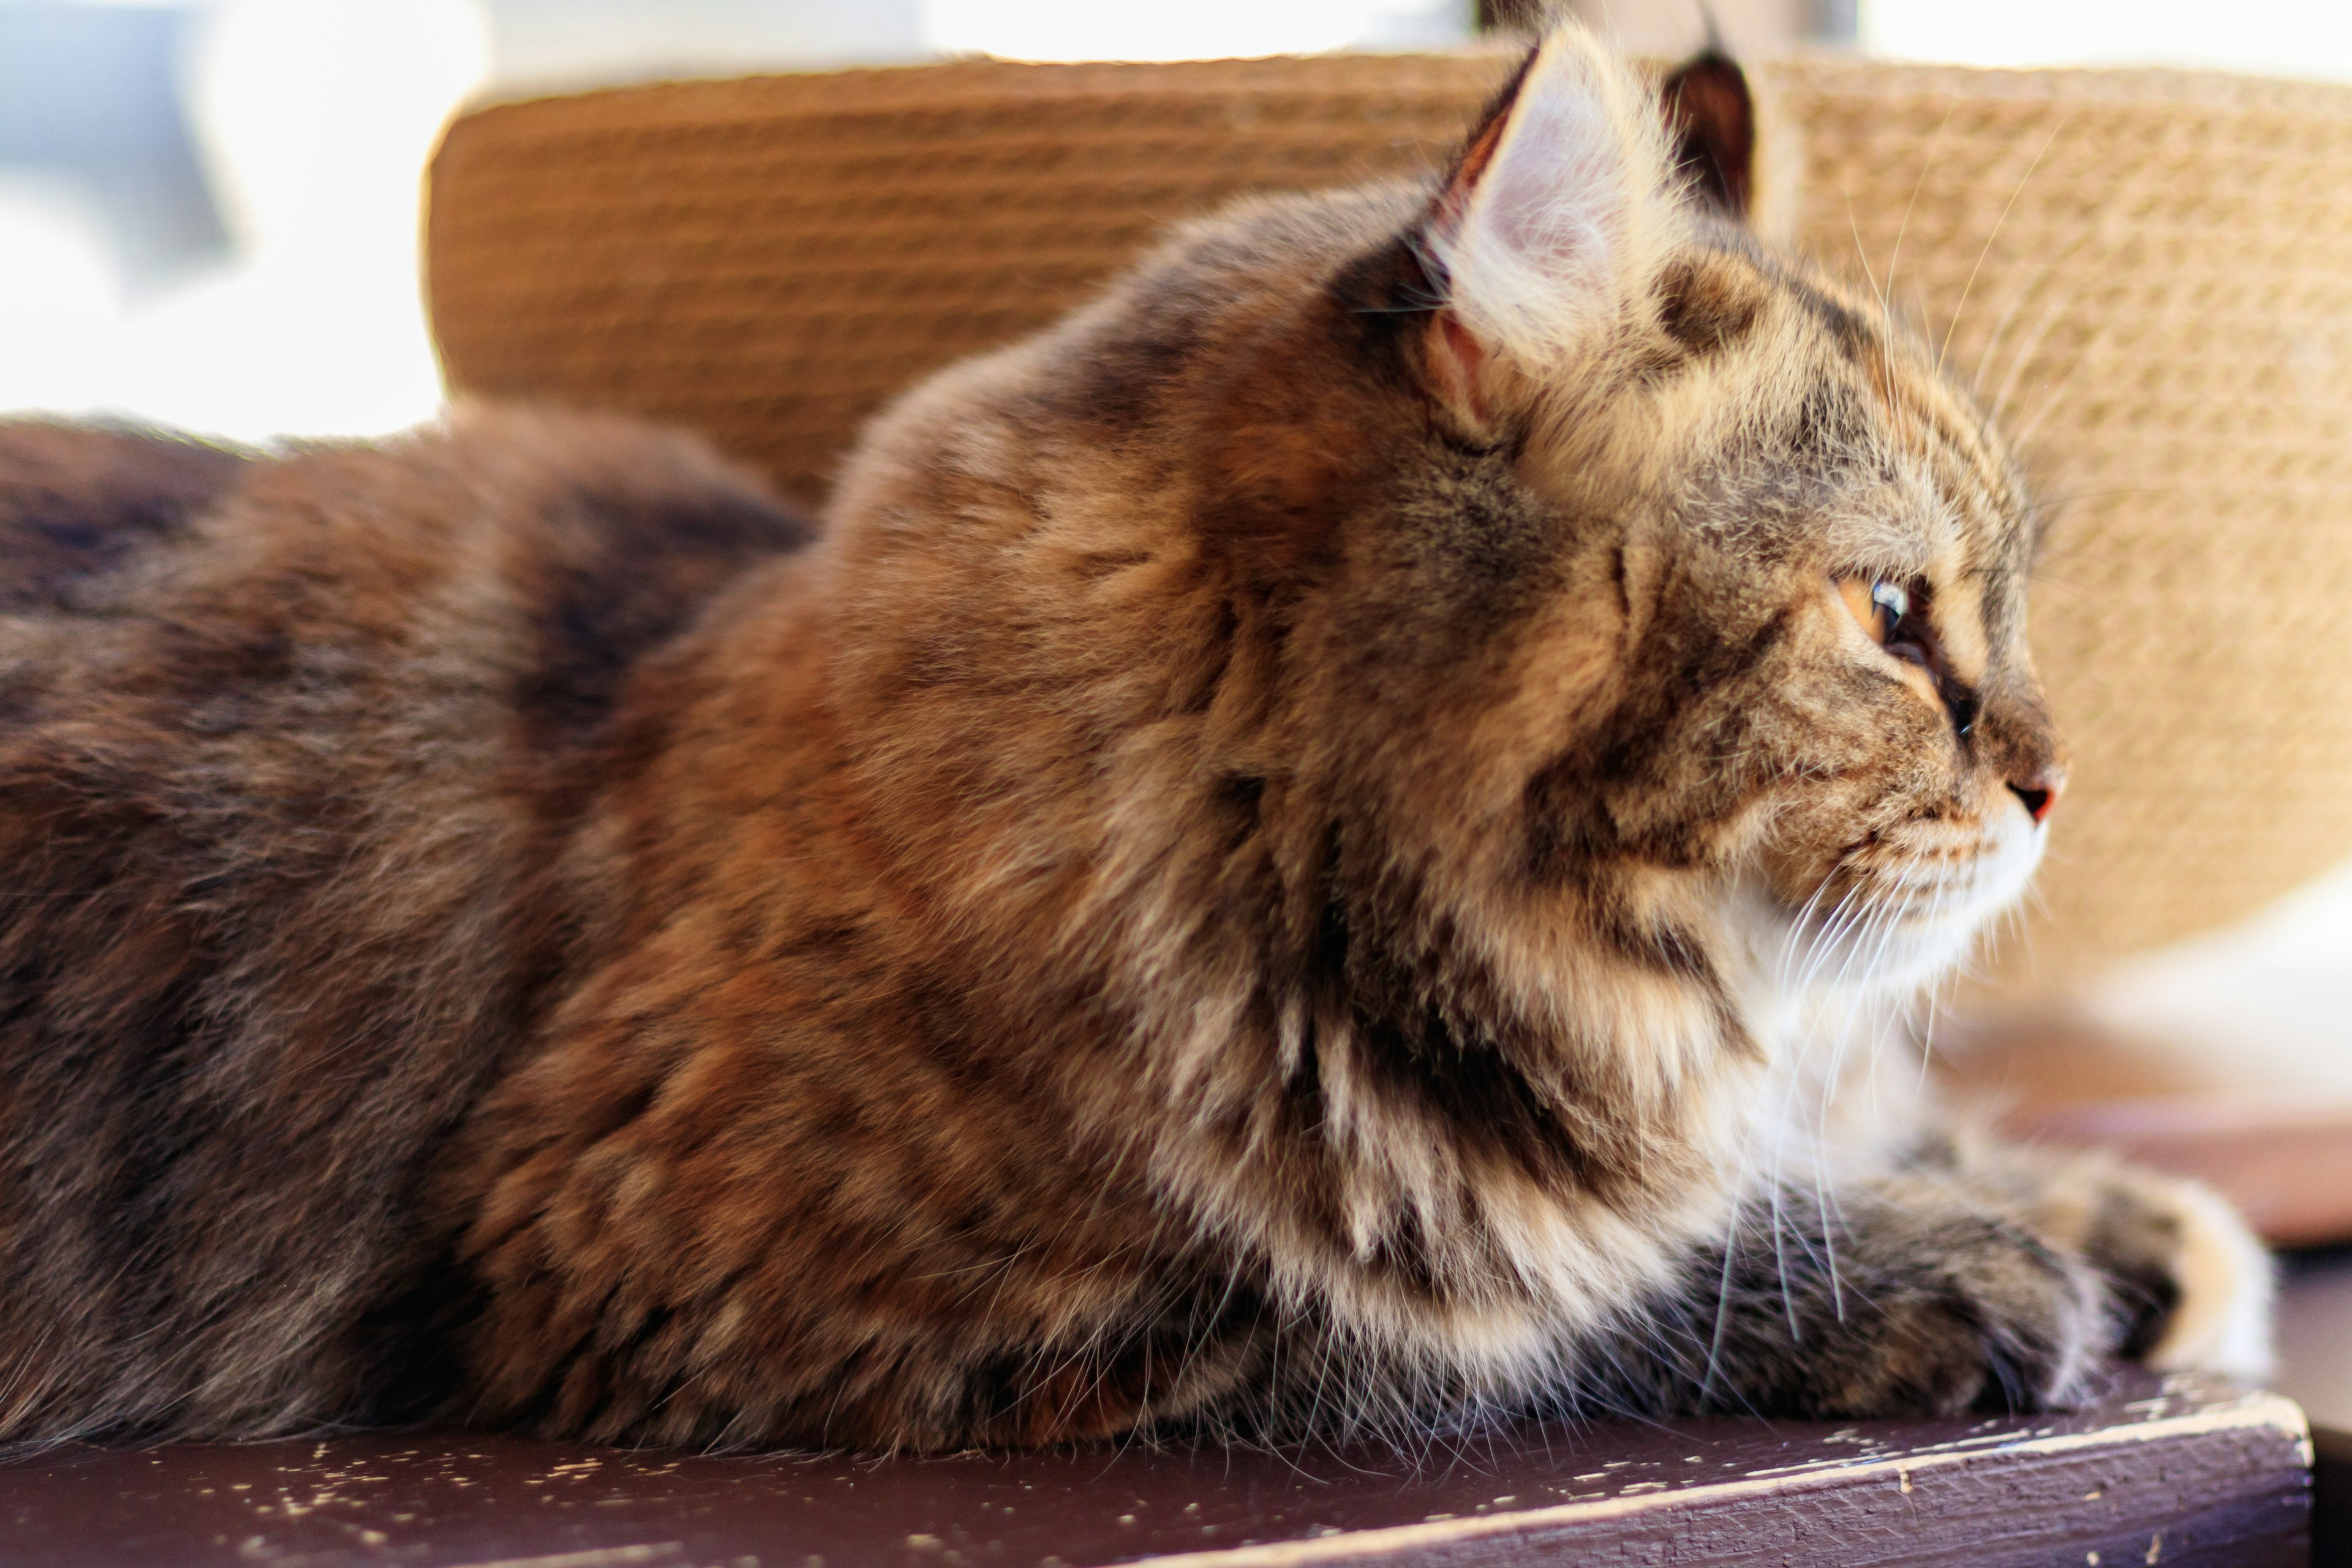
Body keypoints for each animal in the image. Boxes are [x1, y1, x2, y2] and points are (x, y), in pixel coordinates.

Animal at [0, 34, 2267, 1457]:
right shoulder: (759, 1285)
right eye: (1891, 620)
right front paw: (1951, 1263)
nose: (2057, 780)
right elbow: (1533, 1309)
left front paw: (2107, 1217)